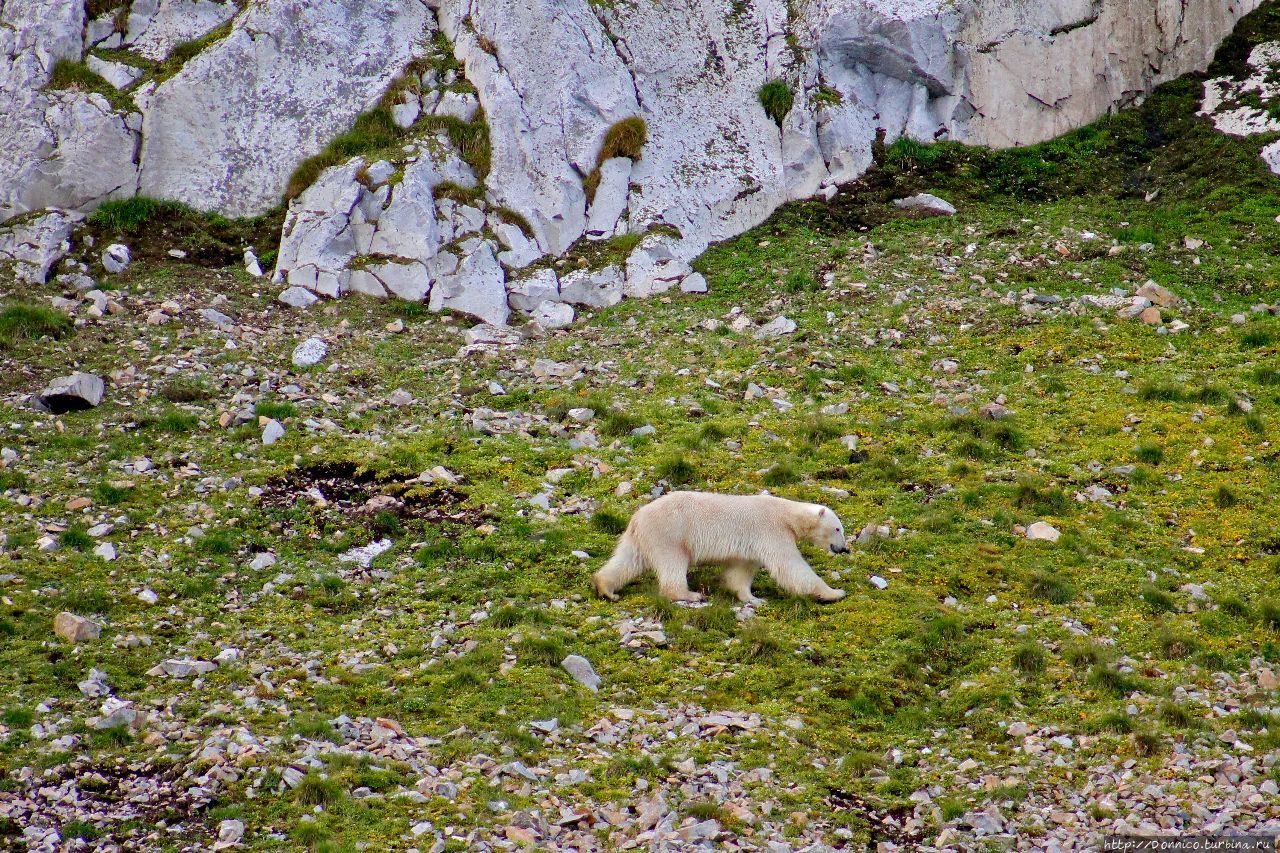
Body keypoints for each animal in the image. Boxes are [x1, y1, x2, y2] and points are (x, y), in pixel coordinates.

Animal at [591, 489, 849, 601]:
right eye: (838, 529)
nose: (843, 548)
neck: (786, 514)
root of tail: (638, 516)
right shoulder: (771, 531)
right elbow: (790, 566)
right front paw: (834, 592)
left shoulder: (751, 546)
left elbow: (741, 571)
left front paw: (752, 598)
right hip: (669, 532)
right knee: (672, 563)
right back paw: (690, 594)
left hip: (642, 537)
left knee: (628, 560)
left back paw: (606, 588)